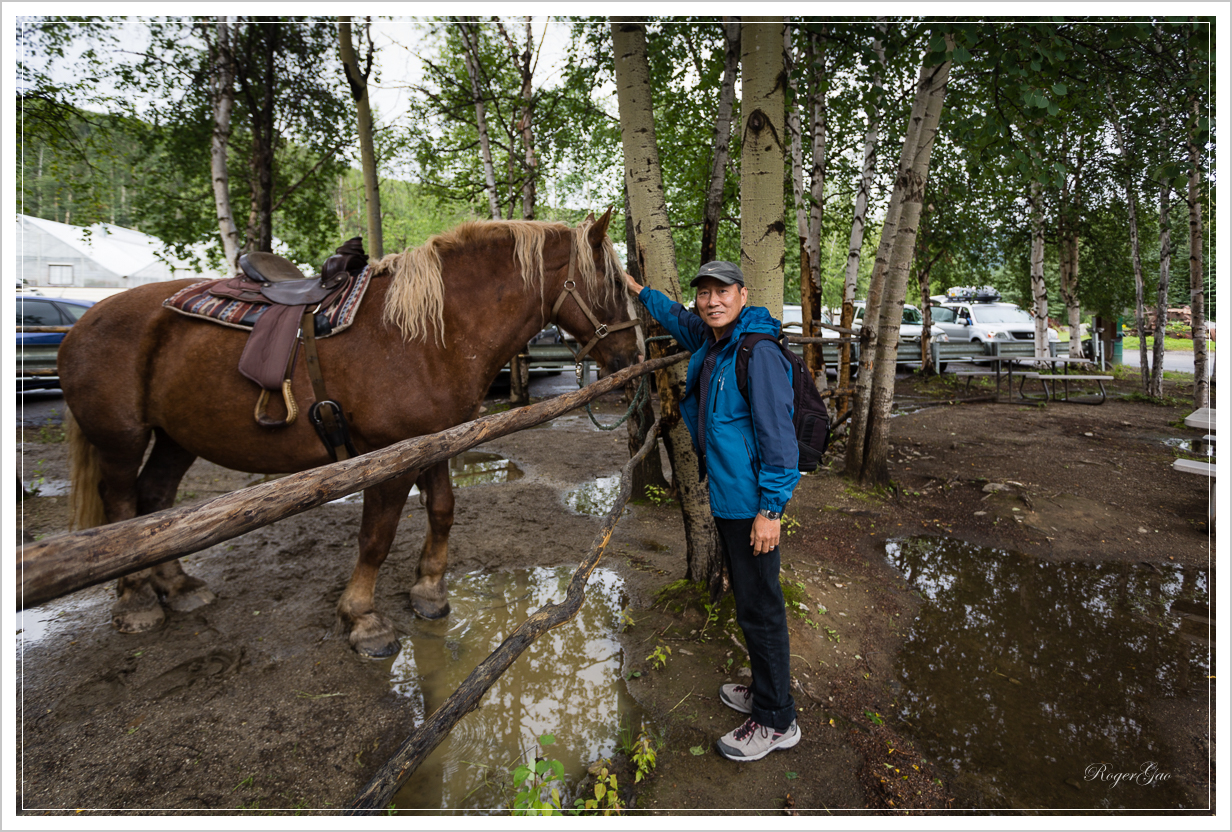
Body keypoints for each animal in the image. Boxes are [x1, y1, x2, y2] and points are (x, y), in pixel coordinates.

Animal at [60, 213, 635, 655]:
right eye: (611, 283)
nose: (633, 356)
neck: (426, 333)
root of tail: (86, 320)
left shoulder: (434, 445)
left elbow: (443, 511)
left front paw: (429, 592)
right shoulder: (387, 458)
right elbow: (376, 538)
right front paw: (363, 619)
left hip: (176, 437)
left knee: (155, 500)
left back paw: (178, 586)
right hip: (121, 440)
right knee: (122, 506)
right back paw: (137, 601)